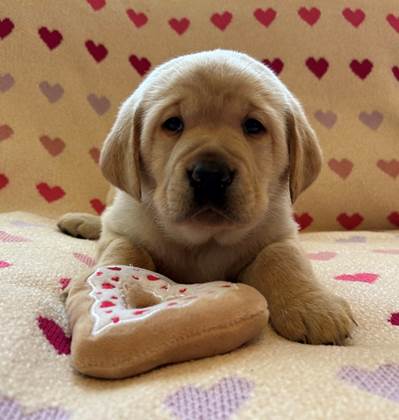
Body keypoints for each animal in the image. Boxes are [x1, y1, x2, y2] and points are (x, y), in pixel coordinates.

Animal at [57, 49, 354, 344]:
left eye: (253, 126)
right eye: (173, 124)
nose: (210, 175)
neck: (204, 240)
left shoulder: (280, 233)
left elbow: (283, 258)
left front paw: (313, 306)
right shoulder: (124, 226)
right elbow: (124, 251)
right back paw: (80, 222)